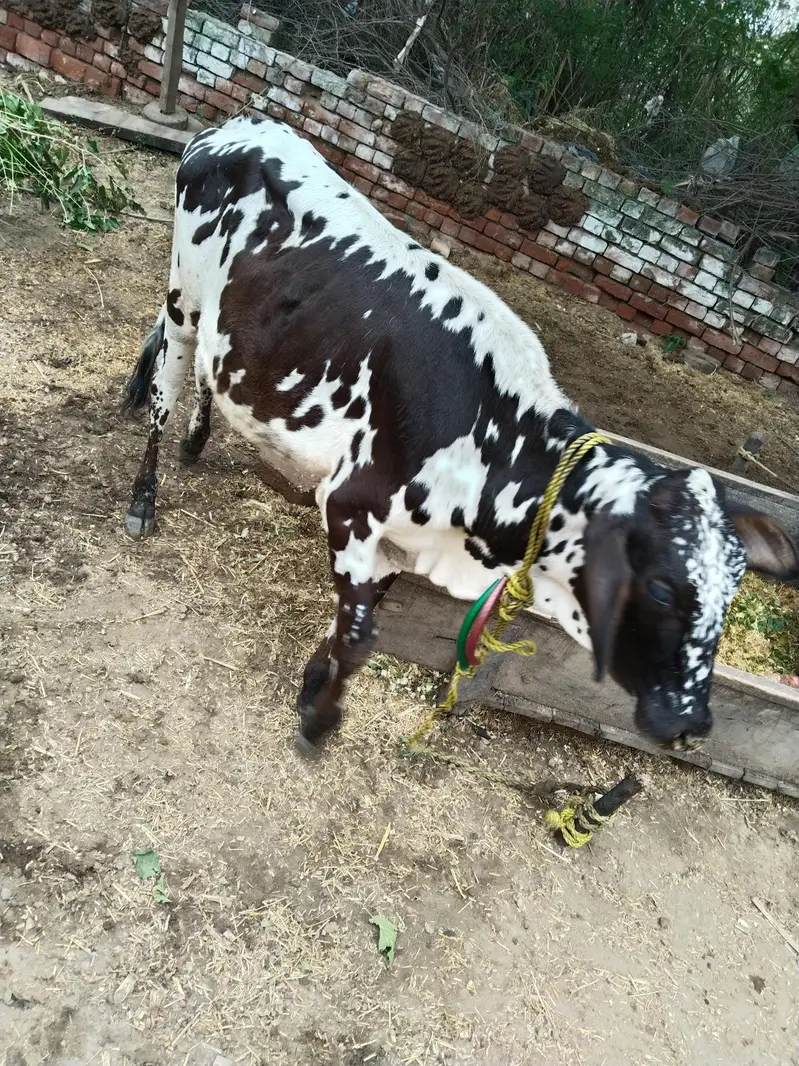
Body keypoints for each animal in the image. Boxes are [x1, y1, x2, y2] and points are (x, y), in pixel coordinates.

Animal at [122, 115, 798, 754]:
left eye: (733, 590)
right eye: (659, 588)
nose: (691, 722)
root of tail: (241, 125)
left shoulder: (396, 539)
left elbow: (354, 626)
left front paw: (313, 686)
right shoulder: (349, 503)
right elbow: (361, 636)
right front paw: (319, 720)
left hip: (221, 324)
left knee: (204, 369)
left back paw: (196, 441)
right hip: (184, 298)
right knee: (164, 390)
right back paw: (144, 496)